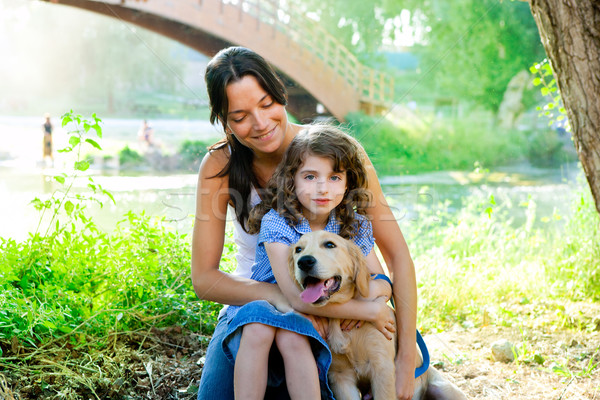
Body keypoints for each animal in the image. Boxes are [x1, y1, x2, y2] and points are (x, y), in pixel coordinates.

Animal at [288, 230, 466, 400]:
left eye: (330, 244)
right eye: (298, 249)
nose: (304, 262)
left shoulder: (383, 368)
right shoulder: (340, 376)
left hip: (446, 390)